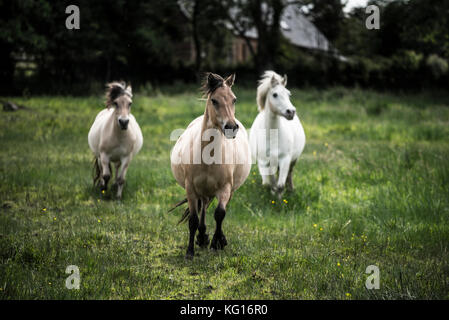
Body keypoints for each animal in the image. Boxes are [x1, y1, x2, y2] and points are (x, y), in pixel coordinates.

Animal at [169, 73, 250, 260]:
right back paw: (201, 237)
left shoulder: (225, 188)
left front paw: (216, 244)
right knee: (204, 208)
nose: (231, 127)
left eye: (234, 99)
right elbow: (193, 220)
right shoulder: (191, 189)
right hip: (202, 191)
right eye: (214, 100)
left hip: (229, 190)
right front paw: (190, 252)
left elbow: (220, 214)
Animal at [247, 70, 306, 198]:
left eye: (289, 94)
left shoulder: (285, 159)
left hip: (293, 160)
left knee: (289, 174)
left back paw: (291, 189)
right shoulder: (265, 162)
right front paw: (273, 193)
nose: (291, 112)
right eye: (275, 94)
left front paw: (279, 197)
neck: (273, 137)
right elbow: (271, 182)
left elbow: (280, 185)